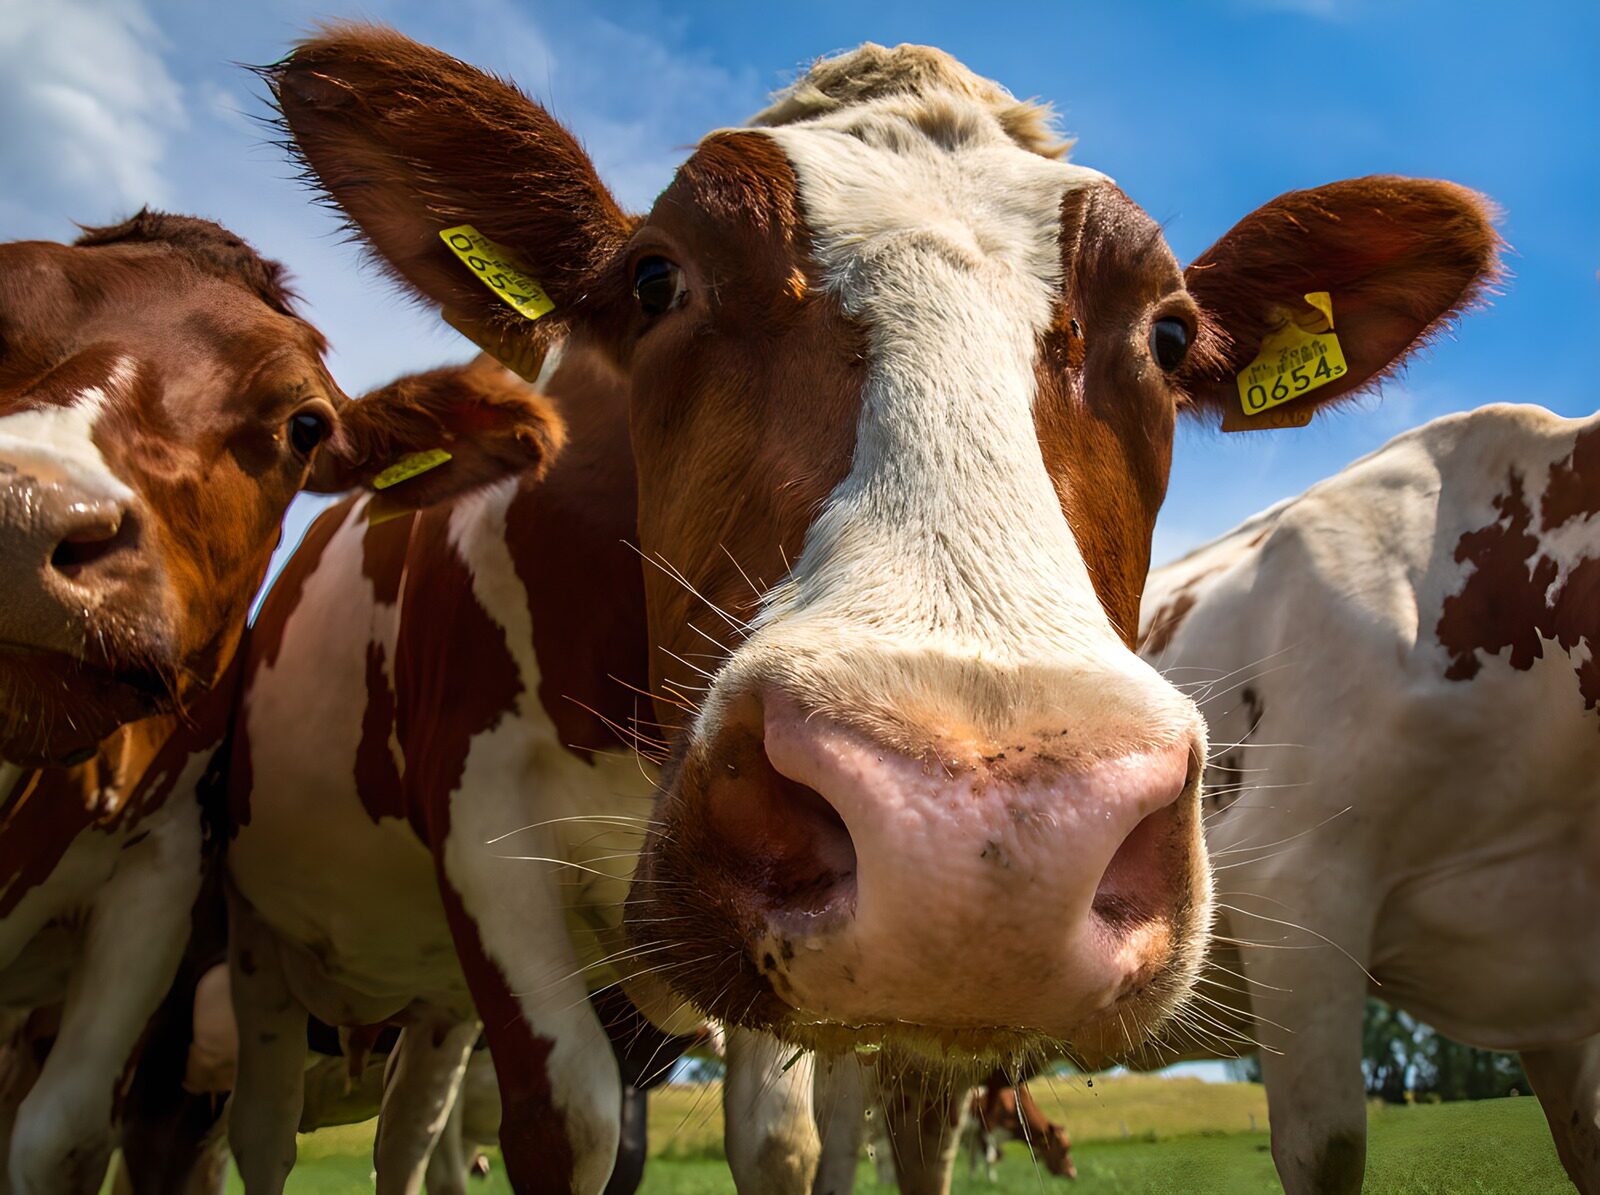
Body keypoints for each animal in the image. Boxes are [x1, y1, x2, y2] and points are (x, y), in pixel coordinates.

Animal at [237, 25, 1501, 1193]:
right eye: (655, 279)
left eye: (1170, 332)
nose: (982, 838)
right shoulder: (481, 838)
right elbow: (570, 1129)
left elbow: (793, 1144)